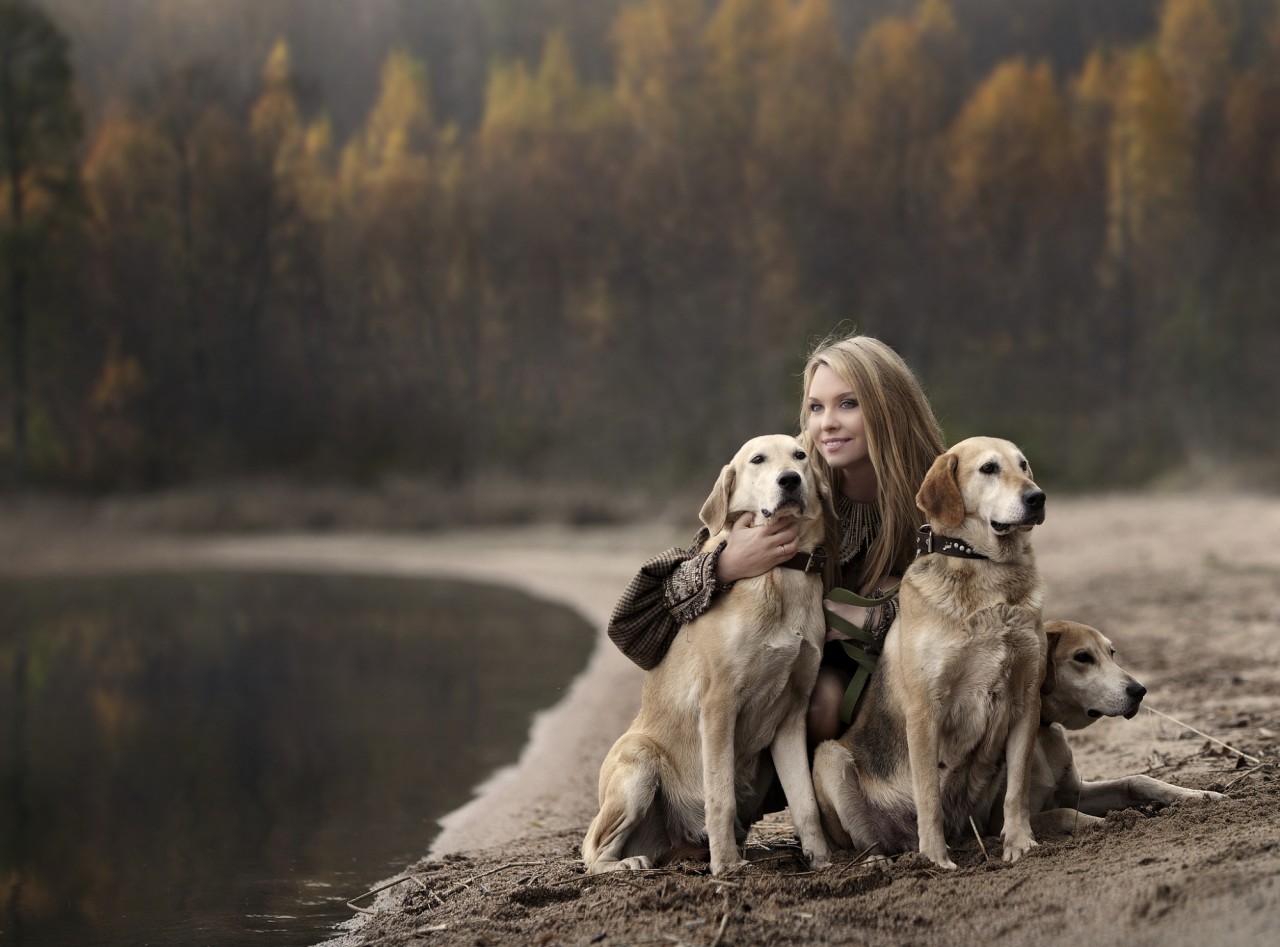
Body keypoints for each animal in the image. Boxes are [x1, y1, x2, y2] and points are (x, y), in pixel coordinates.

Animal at [581, 435, 829, 875]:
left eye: (800, 456)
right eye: (757, 460)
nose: (790, 480)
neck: (779, 573)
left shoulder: (792, 715)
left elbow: (806, 804)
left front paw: (822, 860)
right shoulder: (718, 704)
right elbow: (720, 797)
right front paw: (727, 865)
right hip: (639, 763)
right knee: (591, 850)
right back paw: (625, 864)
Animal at [819, 437, 1049, 865]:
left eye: (1024, 465)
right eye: (989, 469)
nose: (1037, 497)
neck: (986, 567)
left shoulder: (1027, 700)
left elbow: (1018, 789)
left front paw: (1020, 843)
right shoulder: (926, 709)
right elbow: (928, 794)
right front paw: (936, 859)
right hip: (829, 759)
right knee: (868, 838)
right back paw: (883, 861)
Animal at [977, 621, 1228, 834]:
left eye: (1112, 653)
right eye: (1082, 657)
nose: (1140, 691)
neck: (1042, 731)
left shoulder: (1074, 792)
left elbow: (1136, 780)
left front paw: (1200, 795)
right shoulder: (997, 824)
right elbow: (1063, 813)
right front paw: (1113, 822)